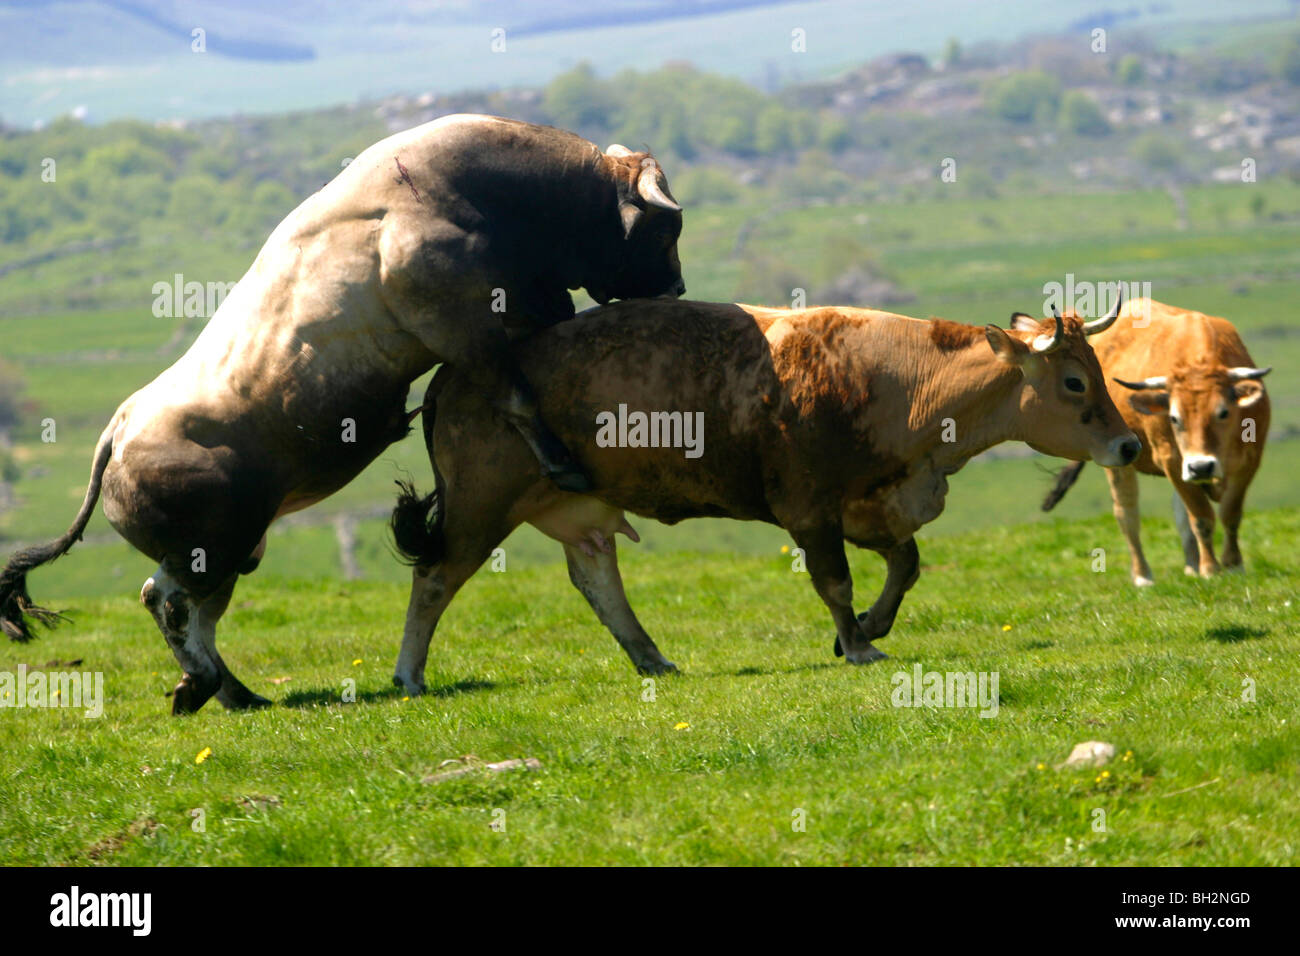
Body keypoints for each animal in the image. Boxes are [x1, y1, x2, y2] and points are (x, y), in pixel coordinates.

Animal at [0, 114, 685, 715]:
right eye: (663, 231)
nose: (677, 288)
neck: (480, 194)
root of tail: (120, 428)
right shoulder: (467, 330)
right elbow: (516, 396)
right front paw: (561, 463)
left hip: (238, 549)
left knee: (200, 616)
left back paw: (234, 694)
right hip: (213, 545)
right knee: (165, 602)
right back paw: (200, 685)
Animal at [387, 296, 1139, 693]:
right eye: (1074, 382)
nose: (1129, 446)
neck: (898, 382)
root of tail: (455, 375)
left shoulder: (868, 503)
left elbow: (907, 563)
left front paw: (871, 625)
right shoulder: (810, 509)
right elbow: (835, 582)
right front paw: (858, 643)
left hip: (575, 509)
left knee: (598, 579)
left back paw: (651, 656)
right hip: (479, 505)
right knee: (435, 577)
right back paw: (409, 674)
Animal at [1039, 296, 1270, 585]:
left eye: (1224, 412)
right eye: (1174, 418)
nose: (1201, 467)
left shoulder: (1250, 461)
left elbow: (1230, 514)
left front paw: (1233, 564)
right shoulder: (1172, 460)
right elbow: (1202, 517)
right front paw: (1210, 569)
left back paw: (1191, 565)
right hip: (1119, 463)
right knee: (1127, 514)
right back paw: (1143, 575)